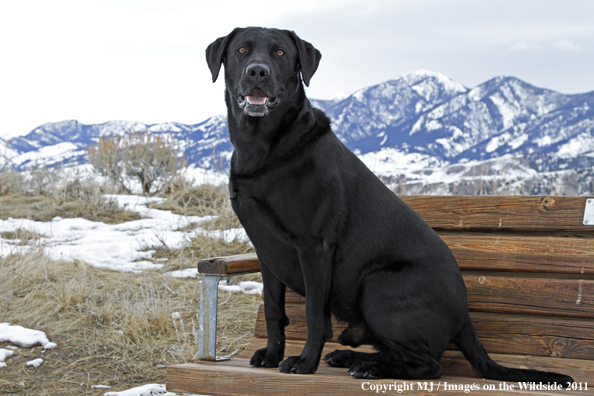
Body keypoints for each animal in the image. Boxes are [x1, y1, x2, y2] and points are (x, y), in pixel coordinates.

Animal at [205, 27, 572, 384]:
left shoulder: (314, 246)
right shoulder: (267, 251)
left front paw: (304, 363)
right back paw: (353, 358)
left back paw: (369, 367)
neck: (262, 147)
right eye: (241, 50)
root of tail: (465, 317)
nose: (257, 71)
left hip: (377, 284)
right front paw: (272, 355)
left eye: (280, 53)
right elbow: (272, 309)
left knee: (430, 365)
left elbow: (313, 316)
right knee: (399, 354)